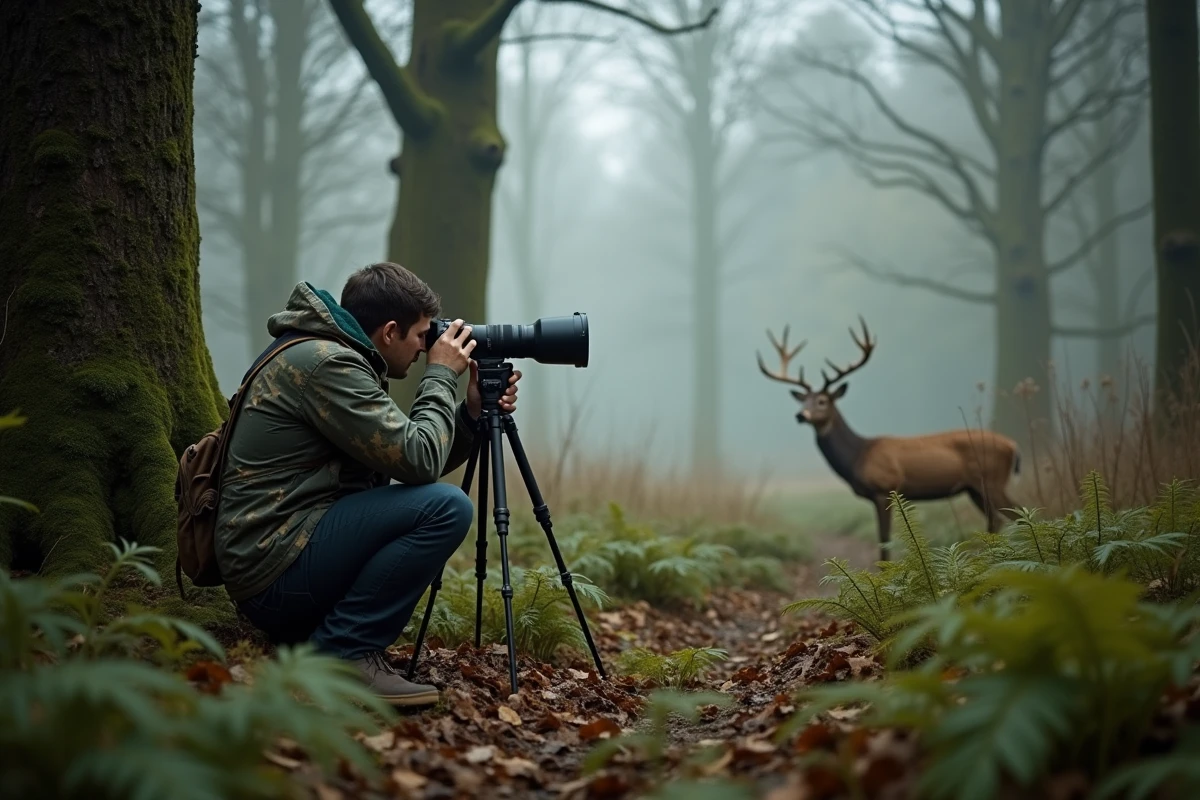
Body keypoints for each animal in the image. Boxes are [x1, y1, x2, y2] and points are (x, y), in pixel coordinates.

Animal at [757, 317, 1022, 562]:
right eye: (803, 400)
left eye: (822, 401)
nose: (801, 415)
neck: (859, 455)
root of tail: (1013, 446)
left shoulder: (884, 487)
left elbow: (884, 539)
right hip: (975, 488)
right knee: (996, 519)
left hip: (993, 479)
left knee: (1017, 514)